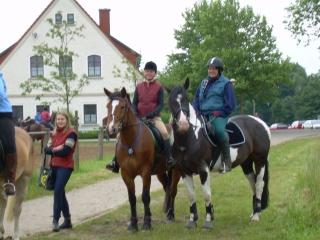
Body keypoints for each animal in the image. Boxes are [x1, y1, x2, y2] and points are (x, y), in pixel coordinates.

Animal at [104, 86, 175, 231]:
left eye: (122, 107)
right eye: (108, 106)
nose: (111, 129)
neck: (131, 141)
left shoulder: (145, 172)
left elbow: (145, 196)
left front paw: (147, 222)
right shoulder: (126, 174)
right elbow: (132, 198)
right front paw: (133, 224)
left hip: (173, 169)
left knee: (171, 189)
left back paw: (171, 214)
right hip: (160, 172)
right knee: (167, 186)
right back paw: (167, 211)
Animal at [166, 79, 272, 229]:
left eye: (186, 99)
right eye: (171, 102)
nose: (183, 124)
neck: (189, 137)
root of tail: (261, 123)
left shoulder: (203, 169)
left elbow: (206, 194)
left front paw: (208, 220)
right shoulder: (184, 171)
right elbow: (191, 195)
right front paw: (192, 220)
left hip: (260, 161)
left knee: (258, 185)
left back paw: (256, 216)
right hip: (246, 164)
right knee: (253, 183)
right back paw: (254, 212)